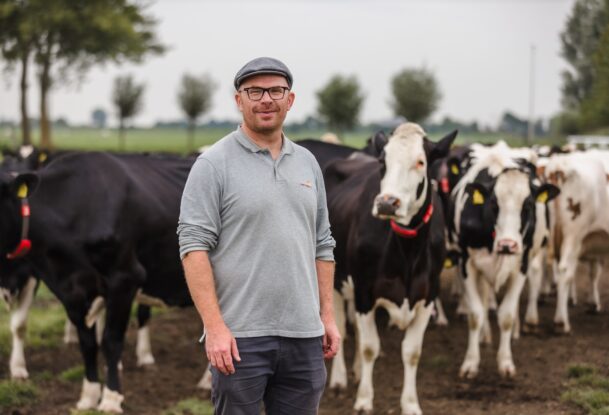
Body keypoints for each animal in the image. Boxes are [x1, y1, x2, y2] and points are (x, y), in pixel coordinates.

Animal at [0, 153, 194, 412]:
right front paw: (89, 396)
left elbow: (111, 341)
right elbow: (88, 343)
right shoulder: (70, 290)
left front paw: (111, 399)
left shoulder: (125, 278)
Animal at [326, 123, 454, 415]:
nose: (386, 203)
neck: (407, 252)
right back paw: (338, 379)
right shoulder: (364, 292)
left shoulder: (427, 296)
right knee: (341, 328)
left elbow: (411, 352)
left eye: (420, 162)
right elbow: (370, 347)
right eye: (383, 162)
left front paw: (410, 404)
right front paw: (364, 400)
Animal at [448, 144, 560, 380]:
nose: (508, 244)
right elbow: (475, 314)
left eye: (528, 205)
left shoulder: (521, 264)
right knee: (484, 298)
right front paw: (471, 363)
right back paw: (485, 336)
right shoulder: (466, 264)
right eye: (493, 203)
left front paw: (505, 362)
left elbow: (506, 315)